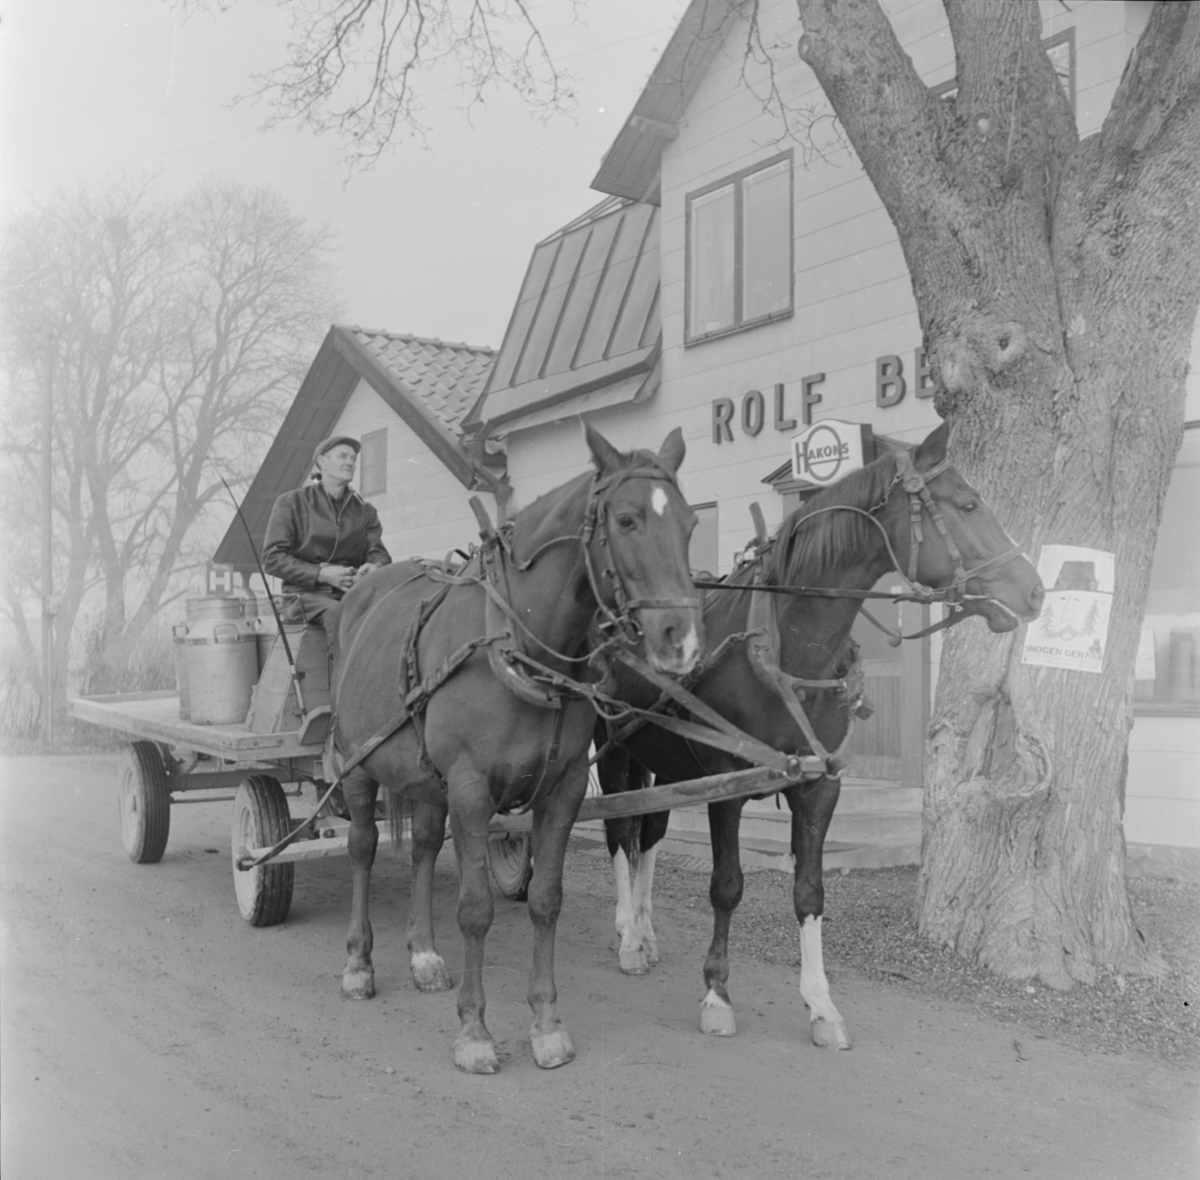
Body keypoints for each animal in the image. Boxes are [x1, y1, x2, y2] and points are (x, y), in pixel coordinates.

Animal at [328, 424, 700, 1070]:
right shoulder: (472, 791)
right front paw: (475, 1031)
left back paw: (423, 954)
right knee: (362, 850)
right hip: (357, 765)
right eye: (627, 519)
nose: (681, 641)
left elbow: (546, 900)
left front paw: (547, 1023)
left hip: (425, 779)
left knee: (423, 847)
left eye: (690, 524)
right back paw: (358, 962)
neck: (520, 645)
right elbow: (476, 909)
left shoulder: (564, 788)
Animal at [597, 420, 1041, 1046]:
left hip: (661, 757)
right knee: (618, 834)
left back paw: (644, 926)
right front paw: (716, 993)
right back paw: (630, 937)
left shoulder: (820, 783)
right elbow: (726, 884)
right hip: (609, 749)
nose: (1035, 591)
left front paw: (821, 1004)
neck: (790, 647)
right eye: (969, 504)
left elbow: (810, 891)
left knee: (651, 833)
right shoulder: (727, 781)